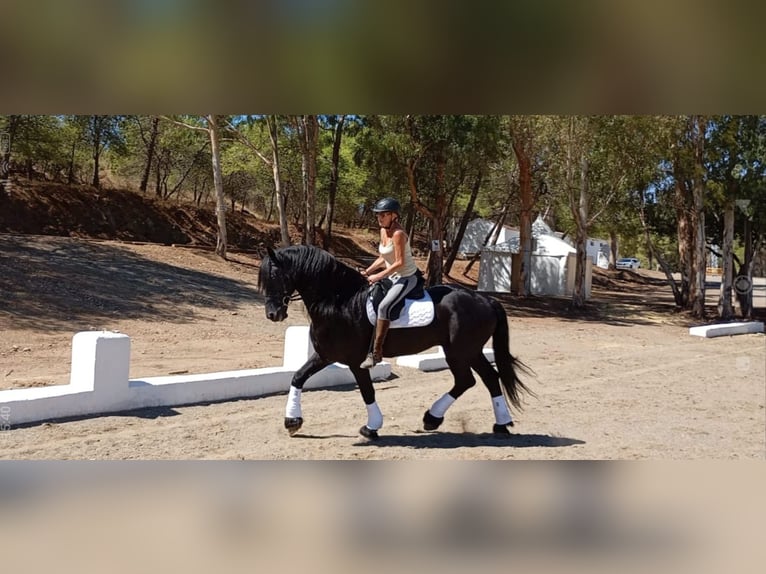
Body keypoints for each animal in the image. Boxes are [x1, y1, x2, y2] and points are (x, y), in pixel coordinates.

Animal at [258, 245, 533, 440]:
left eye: (275, 276)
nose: (273, 314)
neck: (339, 302)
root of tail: (486, 300)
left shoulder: (356, 362)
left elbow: (367, 391)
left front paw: (371, 427)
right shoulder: (325, 355)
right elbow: (298, 377)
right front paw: (292, 422)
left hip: (459, 352)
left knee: (467, 380)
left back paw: (433, 418)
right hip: (471, 351)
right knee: (489, 378)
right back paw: (499, 424)